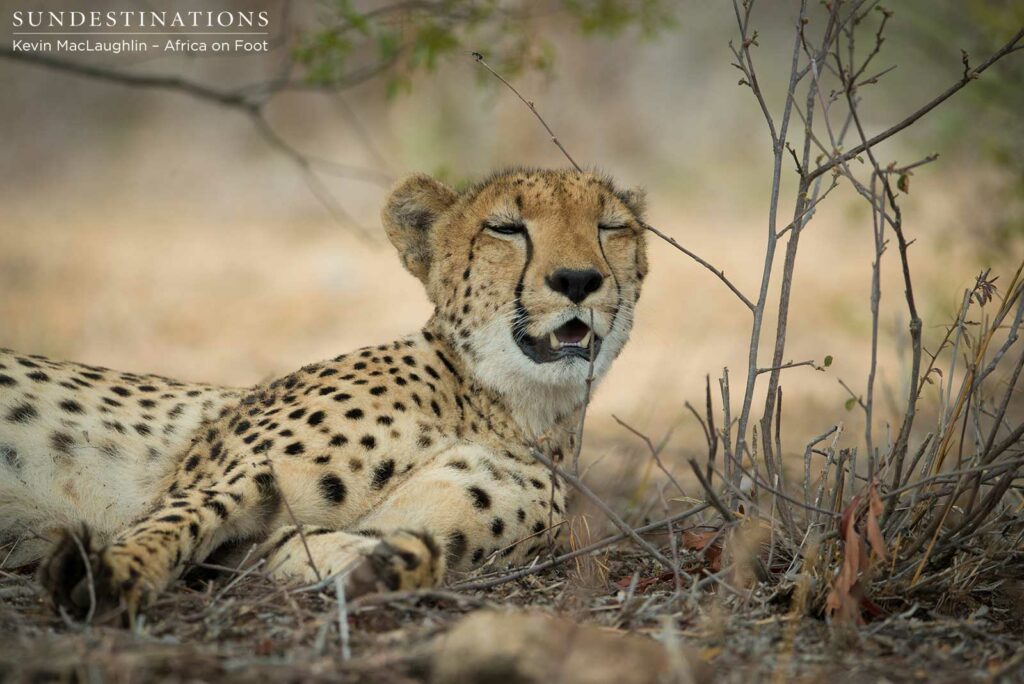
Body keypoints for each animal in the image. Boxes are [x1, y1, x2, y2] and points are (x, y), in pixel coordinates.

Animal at [0, 167, 648, 622]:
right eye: (506, 228)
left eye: (610, 227)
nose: (577, 280)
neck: (500, 407)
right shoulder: (223, 476)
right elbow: (173, 521)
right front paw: (111, 574)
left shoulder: (251, 550)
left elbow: (324, 546)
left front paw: (382, 569)